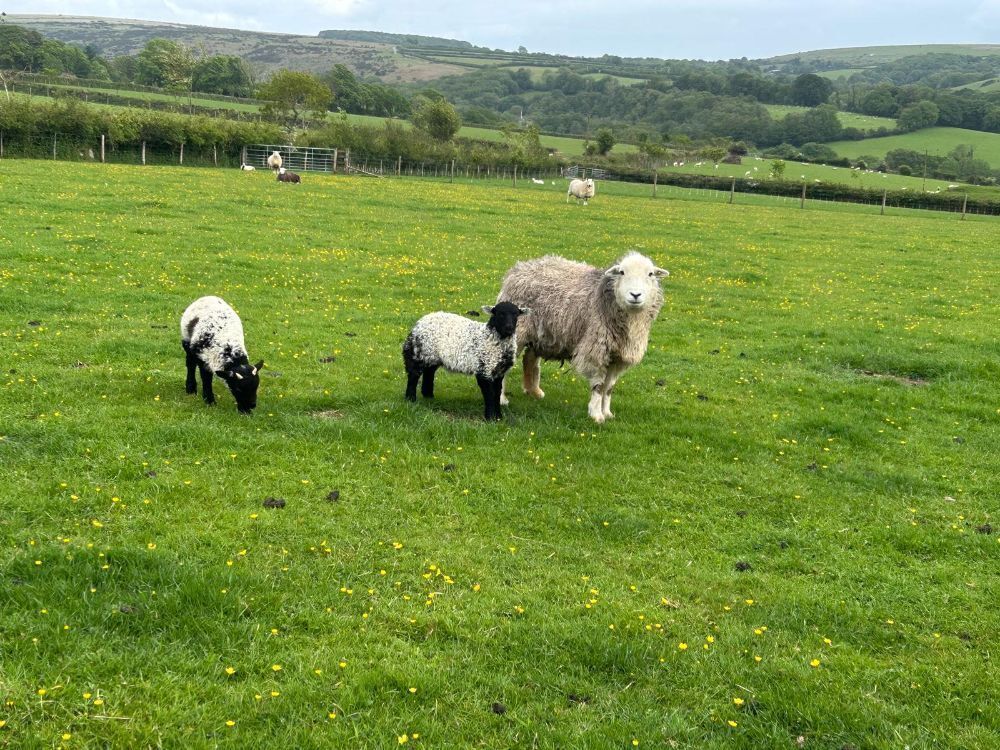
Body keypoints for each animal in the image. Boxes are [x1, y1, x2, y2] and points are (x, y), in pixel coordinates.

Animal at [498, 251, 668, 423]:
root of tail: (518, 268)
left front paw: (607, 413)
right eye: (622, 272)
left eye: (650, 274)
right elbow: (599, 386)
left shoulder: (617, 357)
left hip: (540, 335)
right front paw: (596, 415)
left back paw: (534, 391)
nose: (635, 295)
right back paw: (502, 399)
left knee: (530, 359)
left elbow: (609, 388)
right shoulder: (597, 351)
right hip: (518, 332)